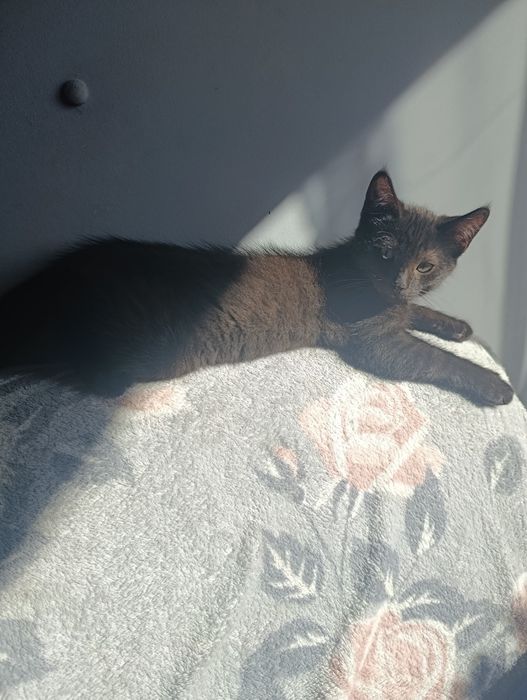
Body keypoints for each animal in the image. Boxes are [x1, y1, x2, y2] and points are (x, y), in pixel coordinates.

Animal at [0, 170, 514, 406]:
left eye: (426, 266)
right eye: (385, 254)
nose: (399, 280)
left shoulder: (396, 308)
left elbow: (415, 313)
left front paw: (455, 325)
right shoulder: (374, 341)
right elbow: (435, 359)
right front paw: (494, 383)